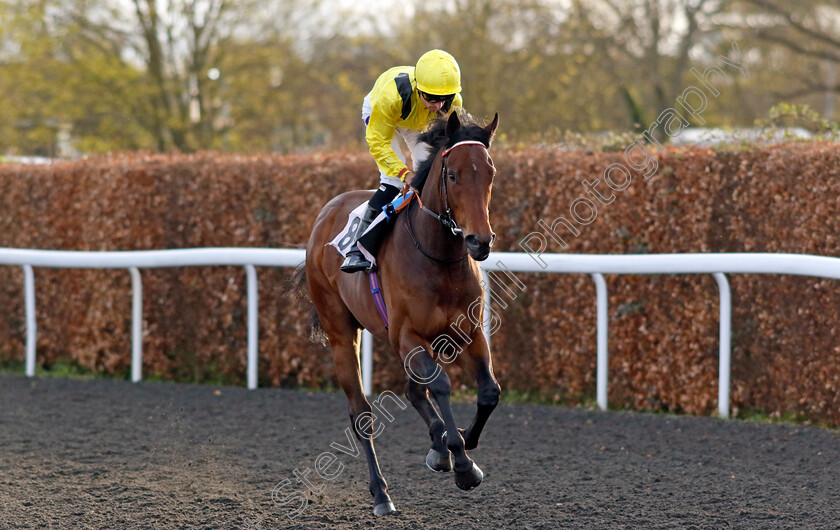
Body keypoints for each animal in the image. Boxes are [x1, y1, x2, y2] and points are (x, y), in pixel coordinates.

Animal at [302, 110, 498, 512]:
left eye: (490, 173)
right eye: (453, 175)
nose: (479, 241)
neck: (439, 258)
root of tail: (325, 214)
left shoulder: (468, 332)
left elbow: (489, 391)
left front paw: (461, 442)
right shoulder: (409, 335)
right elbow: (440, 385)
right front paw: (462, 463)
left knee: (412, 391)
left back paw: (438, 445)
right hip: (342, 333)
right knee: (361, 412)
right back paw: (381, 493)